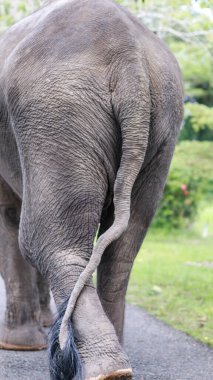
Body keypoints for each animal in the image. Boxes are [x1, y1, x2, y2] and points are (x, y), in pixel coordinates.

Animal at [0, 0, 183, 378]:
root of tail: (128, 56)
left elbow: (9, 216)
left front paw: (19, 345)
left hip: (57, 115)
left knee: (42, 240)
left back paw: (104, 368)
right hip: (162, 122)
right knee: (125, 247)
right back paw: (115, 361)